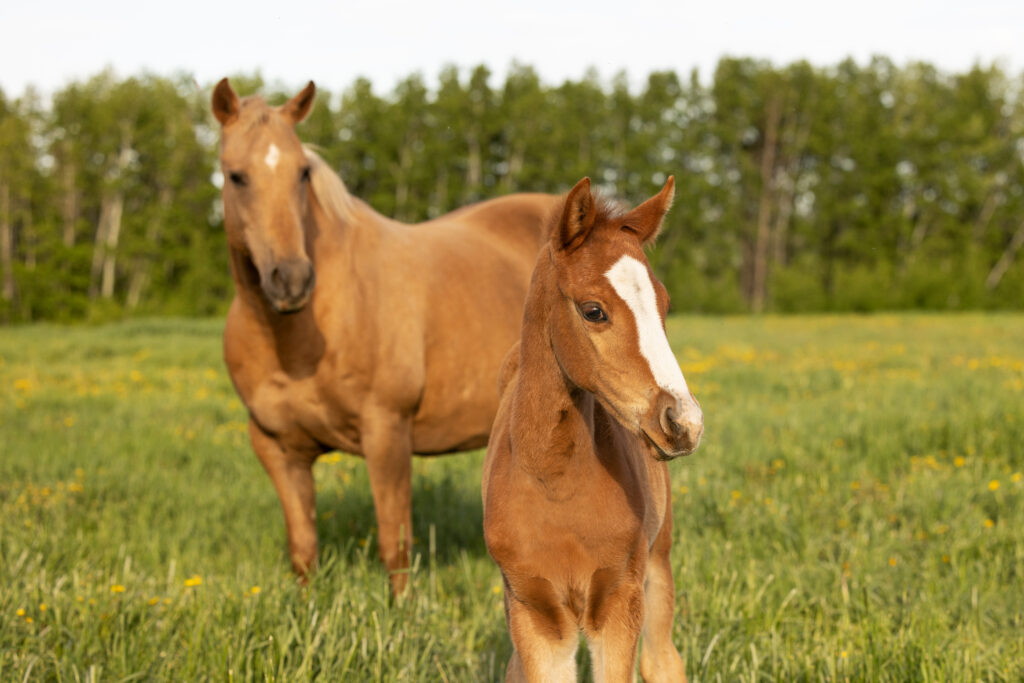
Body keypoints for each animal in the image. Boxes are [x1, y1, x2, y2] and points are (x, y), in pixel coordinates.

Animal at [211, 78, 558, 592]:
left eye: (301, 173)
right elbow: (303, 550)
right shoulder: (278, 447)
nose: (291, 280)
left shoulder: (388, 434)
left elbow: (395, 545)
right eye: (236, 176)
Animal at [482, 176, 704, 681]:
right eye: (593, 311)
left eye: (665, 305)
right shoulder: (534, 611)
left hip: (658, 564)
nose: (684, 421)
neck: (554, 481)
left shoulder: (620, 599)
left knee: (663, 660)